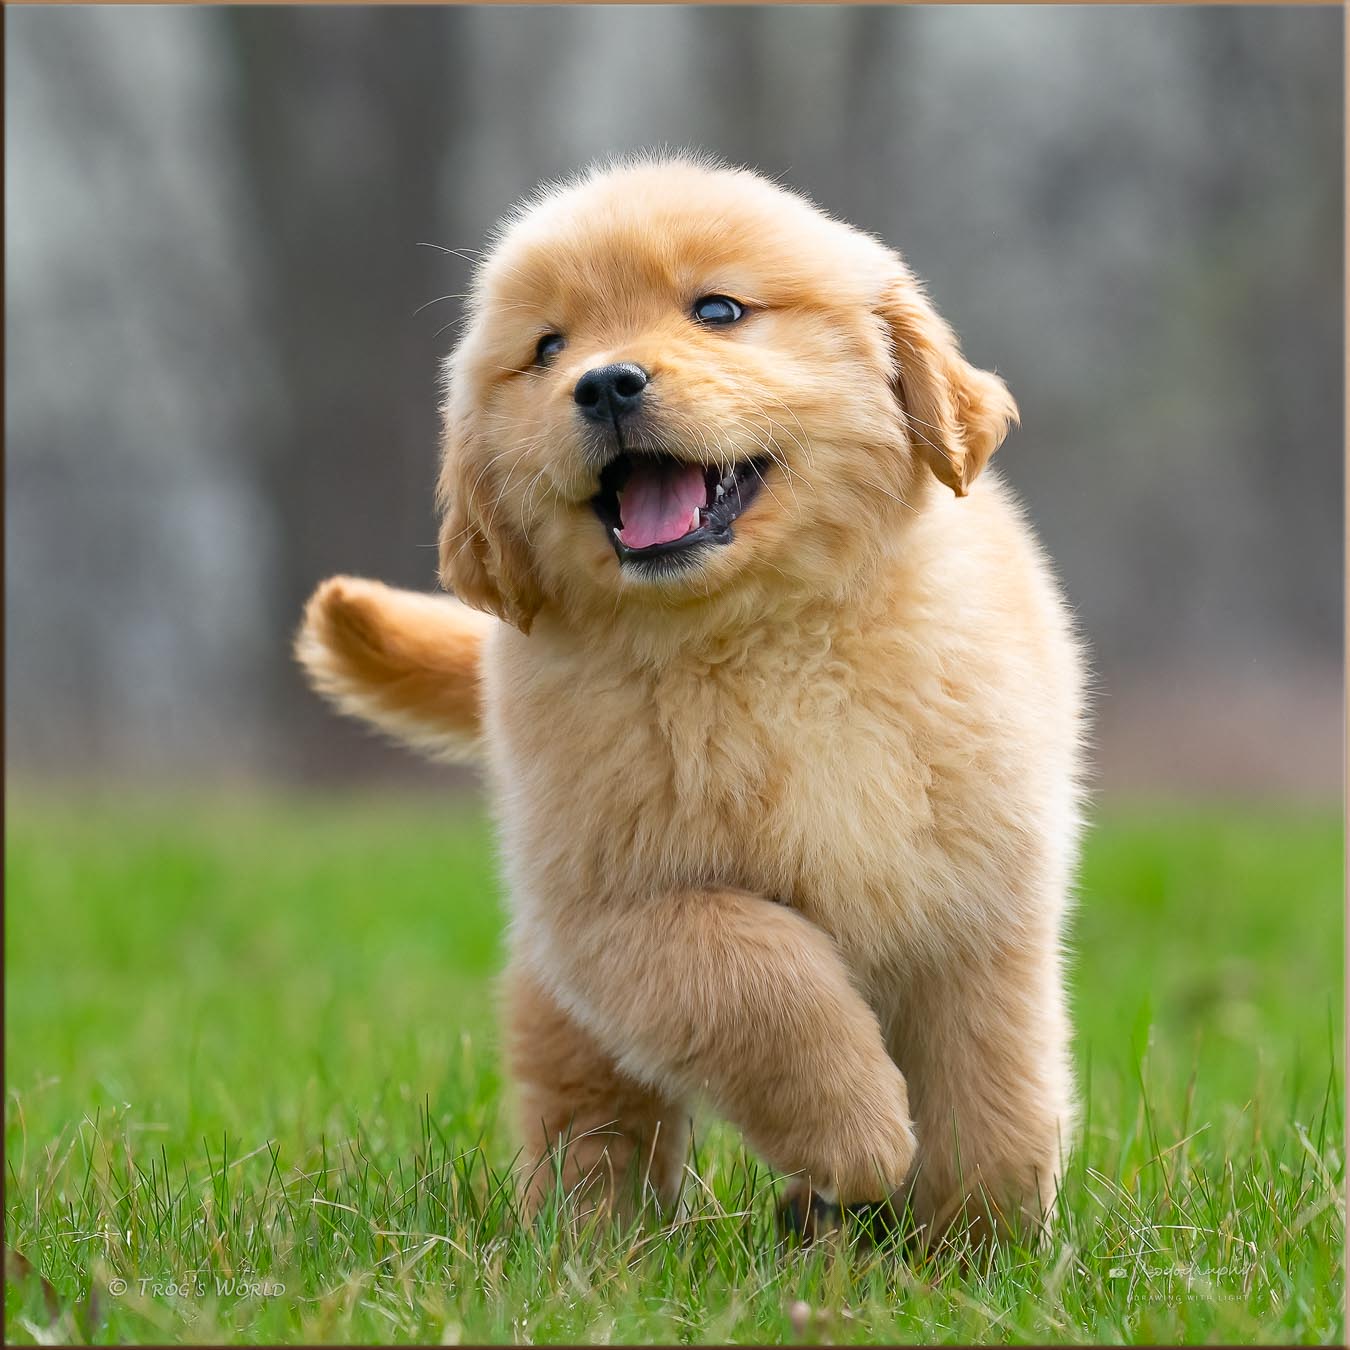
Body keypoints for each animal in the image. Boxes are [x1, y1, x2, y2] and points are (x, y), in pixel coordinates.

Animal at [295, 155, 1085, 1242]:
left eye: (718, 309)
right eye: (548, 349)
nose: (605, 381)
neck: (756, 641)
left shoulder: (977, 896)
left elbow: (994, 1075)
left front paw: (982, 1242)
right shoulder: (621, 903)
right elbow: (762, 983)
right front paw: (859, 1136)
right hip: (567, 993)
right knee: (590, 1114)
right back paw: (600, 1244)